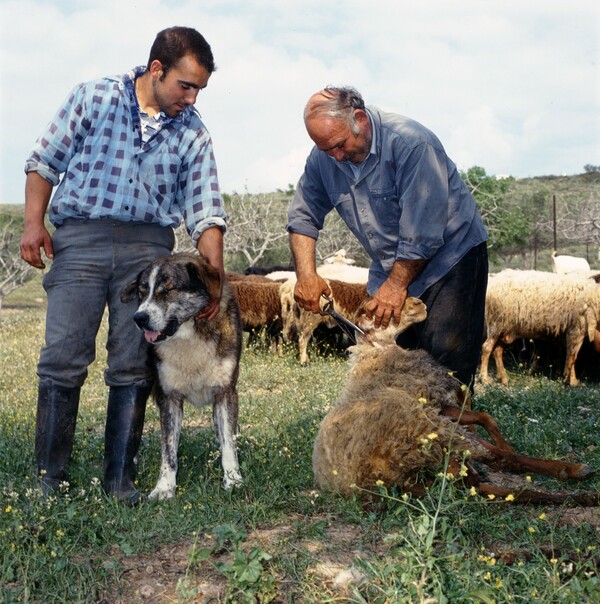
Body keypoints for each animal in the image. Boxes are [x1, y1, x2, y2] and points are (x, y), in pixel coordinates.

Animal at [120, 251, 243, 500]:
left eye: (167, 290)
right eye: (141, 292)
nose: (139, 318)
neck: (188, 334)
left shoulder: (225, 394)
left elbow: (228, 443)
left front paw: (233, 480)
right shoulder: (169, 398)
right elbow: (168, 450)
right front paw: (164, 487)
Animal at [316, 298, 596, 504]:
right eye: (381, 312)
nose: (419, 303)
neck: (376, 354)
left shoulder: (439, 405)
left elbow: (484, 417)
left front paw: (503, 440)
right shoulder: (433, 403)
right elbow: (491, 435)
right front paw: (507, 447)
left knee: (483, 482)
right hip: (433, 431)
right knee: (498, 461)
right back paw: (576, 476)